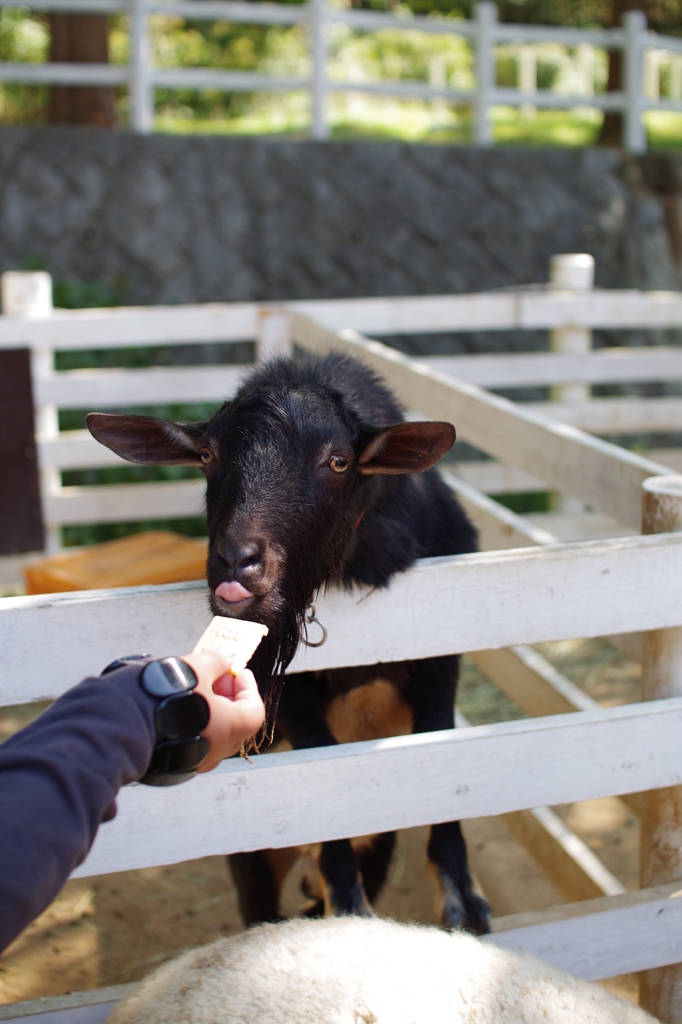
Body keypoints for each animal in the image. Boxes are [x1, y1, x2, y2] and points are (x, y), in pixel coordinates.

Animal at [86, 352, 489, 937]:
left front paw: (462, 896)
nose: (237, 563)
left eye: (339, 461)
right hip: (255, 858)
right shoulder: (285, 689)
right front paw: (348, 902)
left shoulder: (441, 654)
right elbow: (320, 758)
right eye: (207, 455)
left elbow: (441, 741)